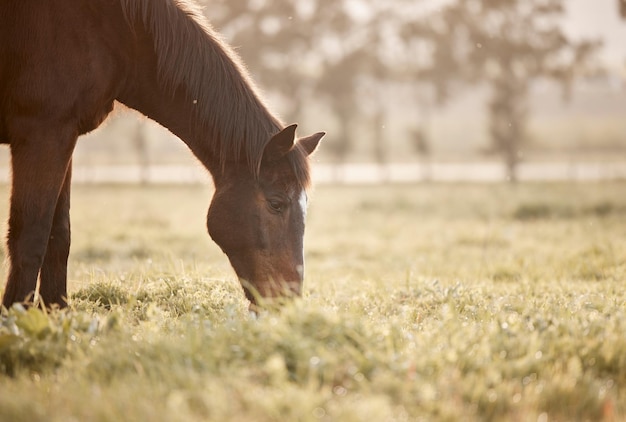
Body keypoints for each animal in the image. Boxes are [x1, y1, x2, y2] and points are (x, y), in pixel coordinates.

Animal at [0, 0, 322, 308]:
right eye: (277, 204)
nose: (287, 300)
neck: (115, 33)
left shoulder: (64, 137)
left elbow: (59, 234)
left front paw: (56, 311)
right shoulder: (44, 134)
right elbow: (31, 235)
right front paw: (17, 315)